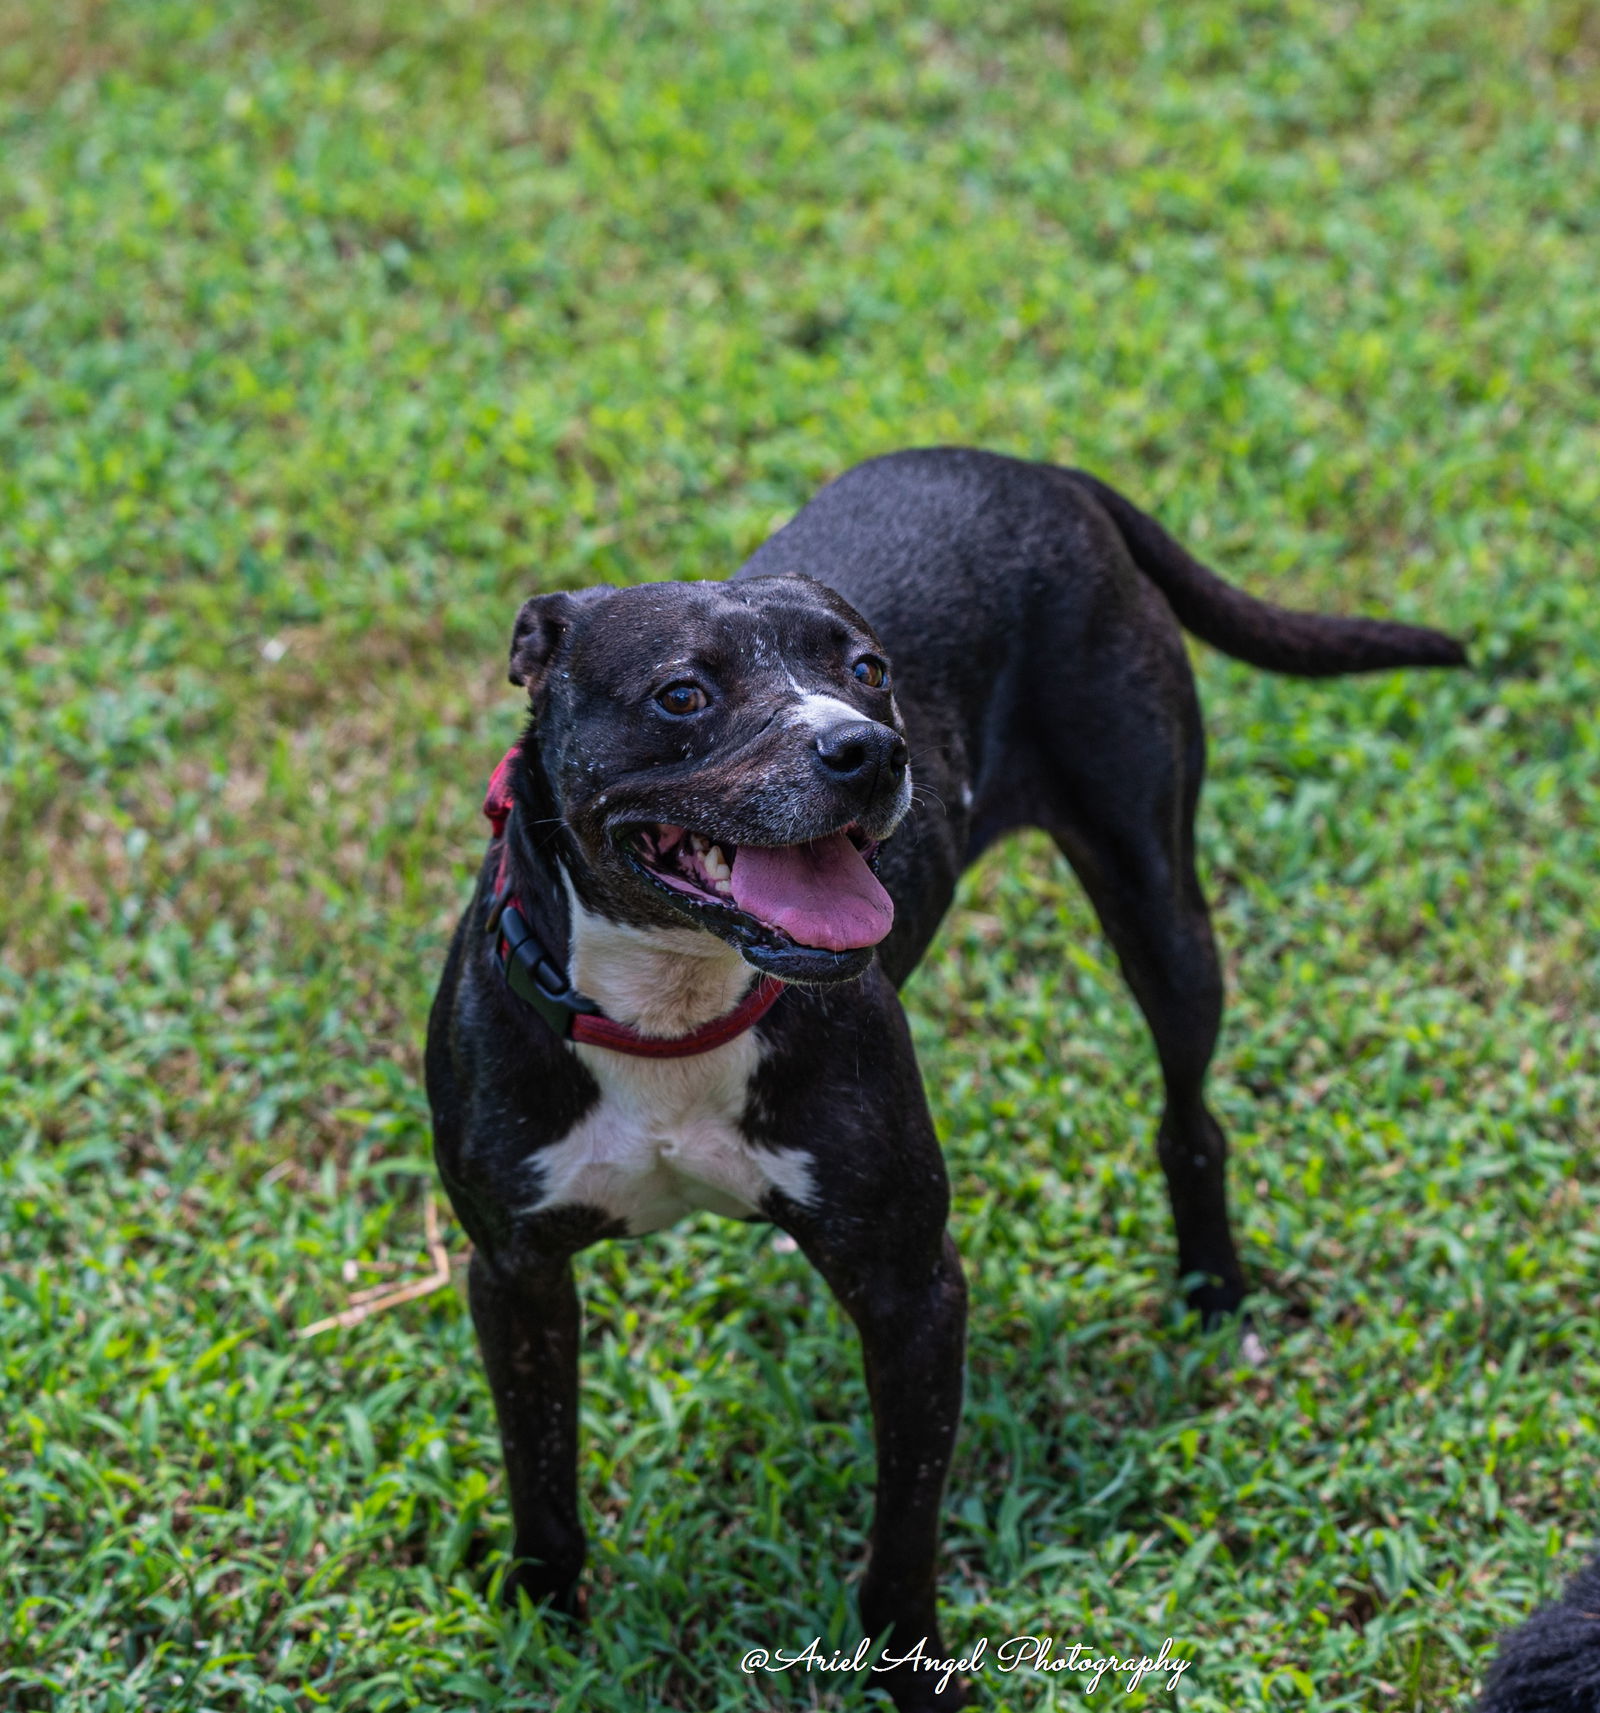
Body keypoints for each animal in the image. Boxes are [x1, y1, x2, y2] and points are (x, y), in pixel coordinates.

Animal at [423, 448, 1466, 1706]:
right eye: (682, 695)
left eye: (868, 672)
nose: (868, 748)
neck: (674, 1010)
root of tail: (1033, 466)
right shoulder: (514, 1274)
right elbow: (539, 1471)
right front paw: (544, 1616)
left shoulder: (912, 1288)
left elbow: (904, 1521)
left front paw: (908, 1665)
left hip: (1158, 902)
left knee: (1190, 1114)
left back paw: (1212, 1287)